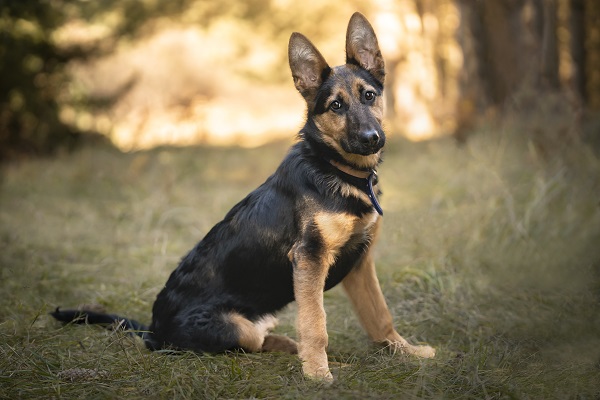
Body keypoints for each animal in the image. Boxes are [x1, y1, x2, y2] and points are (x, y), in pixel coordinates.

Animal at [51, 12, 434, 382]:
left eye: (369, 95)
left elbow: (379, 315)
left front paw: (407, 352)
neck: (335, 168)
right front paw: (318, 374)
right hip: (234, 326)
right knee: (247, 345)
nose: (372, 138)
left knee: (264, 339)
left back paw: (294, 347)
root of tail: (153, 331)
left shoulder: (360, 261)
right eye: (336, 105)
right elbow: (316, 325)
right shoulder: (310, 258)